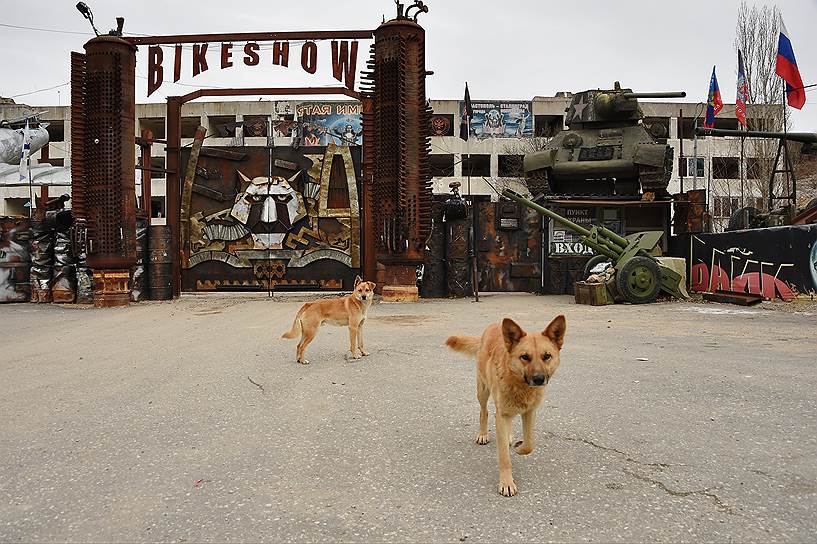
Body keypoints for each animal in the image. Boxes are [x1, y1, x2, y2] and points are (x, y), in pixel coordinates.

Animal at [446, 314, 568, 498]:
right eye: (525, 357)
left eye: (547, 356)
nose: (539, 379)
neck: (519, 384)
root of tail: (494, 325)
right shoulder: (501, 414)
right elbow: (504, 457)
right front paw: (507, 483)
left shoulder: (529, 412)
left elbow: (529, 444)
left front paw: (519, 447)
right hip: (482, 391)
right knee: (484, 412)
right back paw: (483, 434)